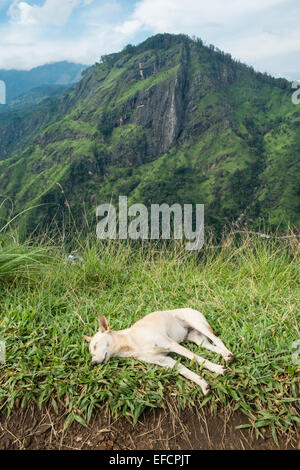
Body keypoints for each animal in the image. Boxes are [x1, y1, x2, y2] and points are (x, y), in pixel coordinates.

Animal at [84, 306, 234, 394]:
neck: (131, 342)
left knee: (217, 340)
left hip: (198, 325)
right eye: (91, 353)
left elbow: (196, 358)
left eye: (96, 345)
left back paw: (228, 354)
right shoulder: (165, 360)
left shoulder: (172, 345)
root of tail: (191, 307)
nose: (93, 363)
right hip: (197, 339)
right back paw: (226, 356)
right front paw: (202, 383)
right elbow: (186, 371)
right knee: (210, 346)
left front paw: (216, 369)